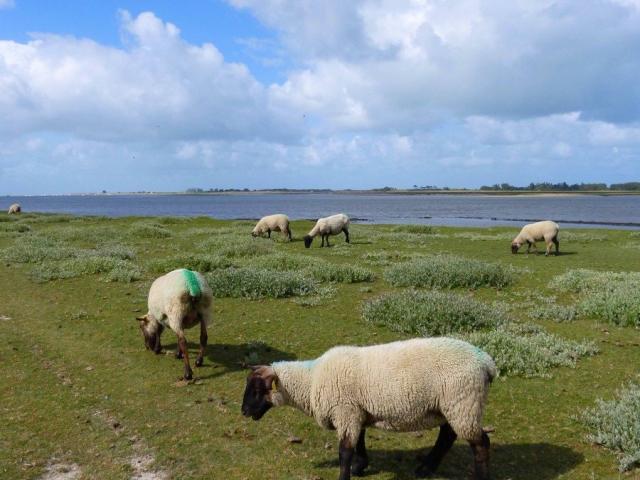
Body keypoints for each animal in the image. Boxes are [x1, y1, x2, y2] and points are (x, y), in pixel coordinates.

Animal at [242, 338, 498, 480]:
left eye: (257, 390)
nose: (243, 411)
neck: (311, 379)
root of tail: (487, 363)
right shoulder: (356, 412)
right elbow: (359, 442)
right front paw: (360, 466)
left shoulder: (345, 411)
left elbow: (344, 451)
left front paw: (345, 475)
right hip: (452, 406)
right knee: (447, 436)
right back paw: (426, 468)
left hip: (463, 402)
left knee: (481, 443)